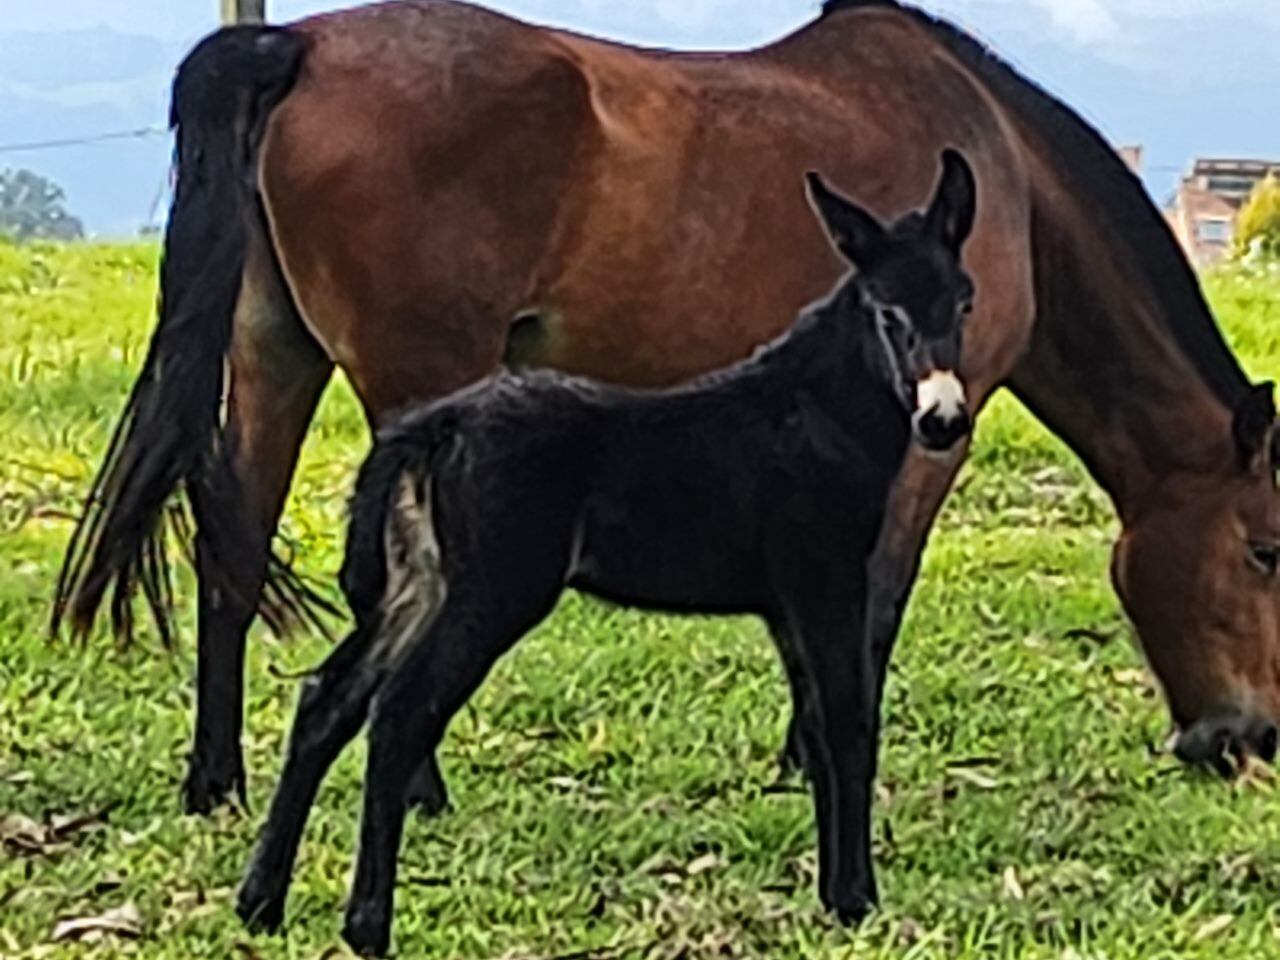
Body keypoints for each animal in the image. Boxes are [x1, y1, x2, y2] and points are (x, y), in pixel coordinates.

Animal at [54, 0, 1280, 815]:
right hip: (418, 388)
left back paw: (216, 782)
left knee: (232, 550)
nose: (1248, 738)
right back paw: (417, 788)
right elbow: (873, 603)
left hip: (276, 357)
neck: (1000, 175)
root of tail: (297, 45)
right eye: (1265, 550)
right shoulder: (935, 433)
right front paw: (827, 764)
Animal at [235, 152, 978, 955]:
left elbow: (815, 724)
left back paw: (260, 902)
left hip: (419, 583)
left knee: (329, 698)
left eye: (964, 302)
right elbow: (849, 722)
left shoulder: (788, 606)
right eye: (886, 313)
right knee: (401, 712)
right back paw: (367, 925)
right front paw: (855, 900)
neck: (817, 414)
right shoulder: (825, 582)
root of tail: (436, 428)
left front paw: (834, 894)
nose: (942, 419)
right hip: (494, 590)